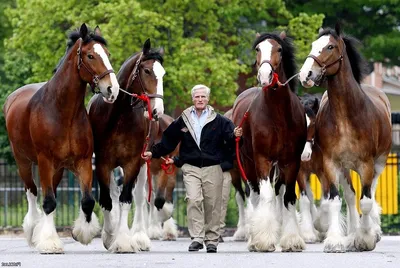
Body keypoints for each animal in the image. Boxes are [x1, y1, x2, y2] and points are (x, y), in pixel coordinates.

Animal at [2, 23, 119, 253]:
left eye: (107, 54)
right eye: (90, 55)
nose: (112, 89)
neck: (62, 112)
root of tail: (13, 97)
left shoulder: (83, 162)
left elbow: (87, 201)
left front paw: (82, 233)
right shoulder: (45, 161)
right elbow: (47, 201)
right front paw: (49, 243)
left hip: (56, 169)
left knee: (51, 193)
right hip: (24, 162)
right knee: (32, 192)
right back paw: (33, 231)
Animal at [88, 38, 166, 252]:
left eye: (163, 73)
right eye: (147, 70)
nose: (157, 110)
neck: (118, 117)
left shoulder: (132, 163)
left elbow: (126, 199)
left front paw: (123, 240)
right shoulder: (103, 162)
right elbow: (107, 200)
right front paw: (109, 235)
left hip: (143, 162)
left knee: (138, 196)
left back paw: (139, 236)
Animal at [231, 31, 306, 251]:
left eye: (279, 49)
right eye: (258, 49)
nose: (264, 76)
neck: (278, 115)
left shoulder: (291, 162)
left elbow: (288, 197)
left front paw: (291, 240)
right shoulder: (262, 159)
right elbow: (265, 196)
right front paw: (263, 240)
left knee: (278, 194)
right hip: (247, 164)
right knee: (255, 194)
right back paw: (253, 237)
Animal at [298, 23, 392, 251]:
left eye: (330, 46)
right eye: (313, 44)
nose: (306, 74)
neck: (345, 117)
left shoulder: (366, 164)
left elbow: (365, 202)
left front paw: (365, 238)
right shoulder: (331, 164)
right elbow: (334, 201)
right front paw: (334, 240)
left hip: (378, 163)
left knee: (370, 193)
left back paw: (371, 231)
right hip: (345, 169)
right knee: (350, 196)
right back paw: (351, 232)